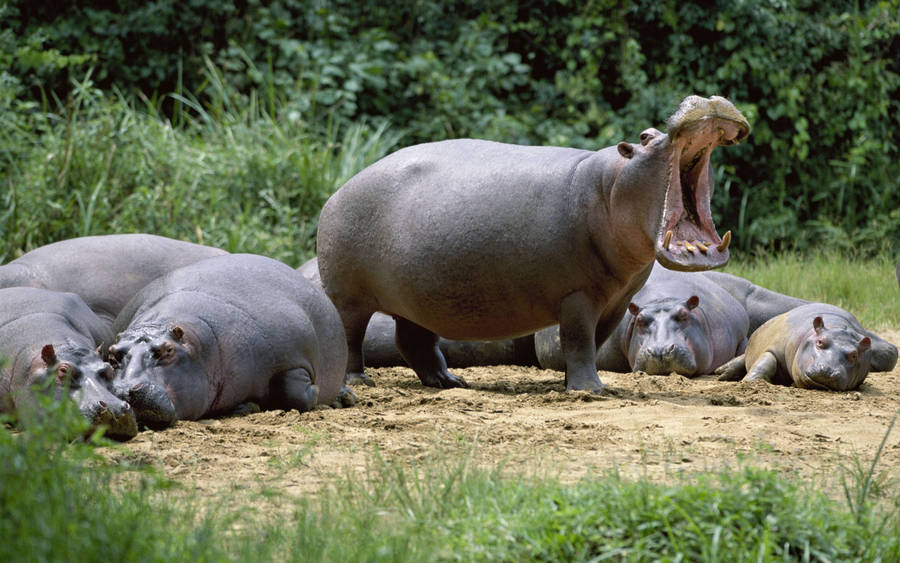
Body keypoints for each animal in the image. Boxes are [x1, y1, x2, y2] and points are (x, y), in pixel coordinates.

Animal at [109, 254, 351, 428]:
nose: (123, 390)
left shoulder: (293, 356)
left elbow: (294, 392)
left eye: (168, 350)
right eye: (112, 353)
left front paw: (317, 391)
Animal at [316, 95, 749, 393]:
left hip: (416, 298)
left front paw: (573, 384)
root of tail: (337, 193)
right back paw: (359, 381)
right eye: (645, 137)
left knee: (412, 339)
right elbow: (578, 339)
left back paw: (449, 382)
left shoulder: (616, 298)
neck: (609, 186)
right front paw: (591, 391)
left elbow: (592, 341)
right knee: (350, 336)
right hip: (350, 298)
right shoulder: (576, 295)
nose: (706, 98)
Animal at [715, 303, 898, 390]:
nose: (827, 370)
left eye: (854, 355)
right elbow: (766, 362)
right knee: (744, 358)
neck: (837, 327)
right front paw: (750, 382)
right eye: (820, 342)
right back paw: (721, 373)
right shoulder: (775, 346)